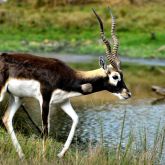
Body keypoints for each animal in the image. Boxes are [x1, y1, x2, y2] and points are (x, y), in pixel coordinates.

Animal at [0, 8, 131, 159]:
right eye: (115, 76)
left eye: (122, 74)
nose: (128, 94)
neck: (68, 76)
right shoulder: (45, 100)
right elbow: (46, 130)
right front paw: (44, 157)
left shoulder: (63, 101)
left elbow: (76, 119)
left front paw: (60, 153)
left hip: (17, 98)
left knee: (6, 118)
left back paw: (21, 155)